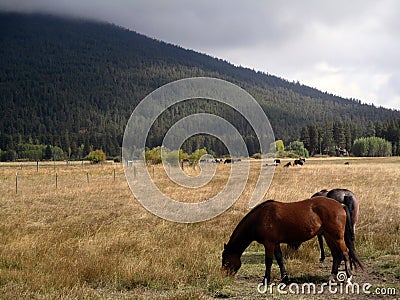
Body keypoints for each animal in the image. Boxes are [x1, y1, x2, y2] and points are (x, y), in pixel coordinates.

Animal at [222, 197, 362, 284]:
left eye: (226, 261)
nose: (224, 276)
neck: (261, 217)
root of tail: (340, 205)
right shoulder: (275, 243)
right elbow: (279, 259)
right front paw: (285, 278)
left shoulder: (269, 244)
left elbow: (268, 261)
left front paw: (266, 280)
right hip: (328, 236)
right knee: (336, 255)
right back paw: (331, 277)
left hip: (337, 237)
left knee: (345, 253)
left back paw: (348, 278)